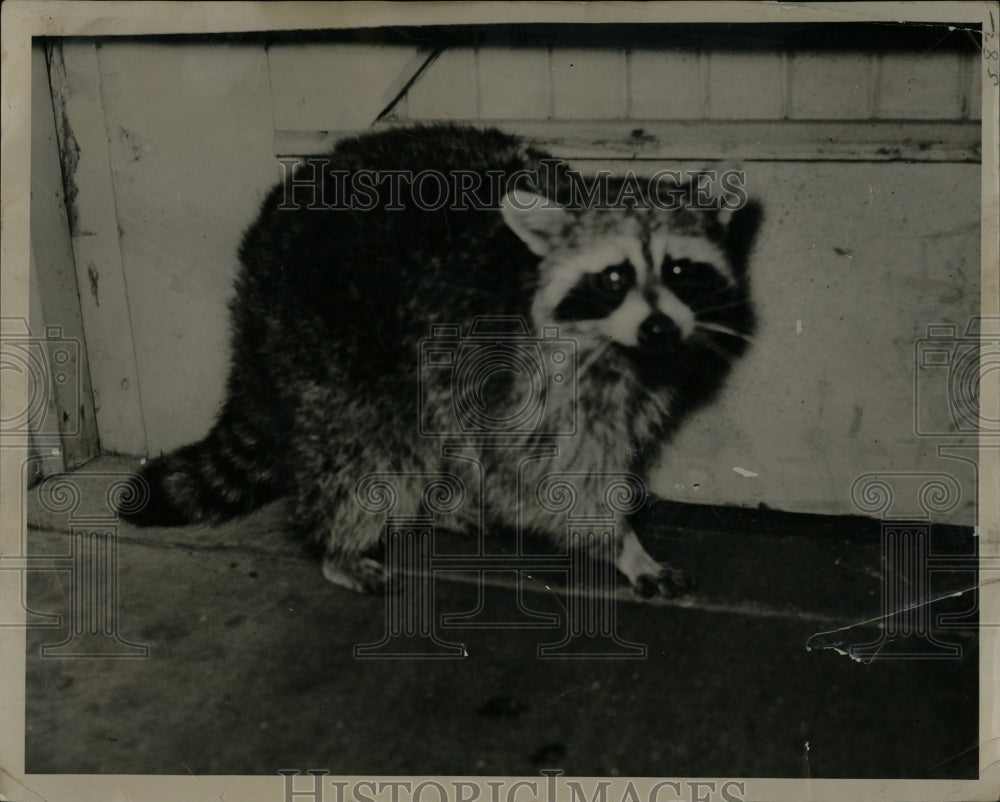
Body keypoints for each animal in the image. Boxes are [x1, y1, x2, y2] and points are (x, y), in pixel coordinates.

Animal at [125, 125, 760, 596]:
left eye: (679, 269)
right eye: (613, 277)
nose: (658, 328)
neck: (617, 347)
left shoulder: (633, 375)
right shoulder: (530, 373)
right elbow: (543, 473)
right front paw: (621, 544)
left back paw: (441, 500)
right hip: (326, 335)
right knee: (357, 446)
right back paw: (339, 542)